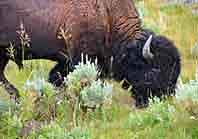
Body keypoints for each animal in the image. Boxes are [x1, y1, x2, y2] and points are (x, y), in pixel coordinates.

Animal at [0, 0, 180, 107]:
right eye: (154, 70)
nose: (166, 98)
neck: (107, 14)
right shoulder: (79, 58)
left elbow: (56, 78)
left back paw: (17, 98)